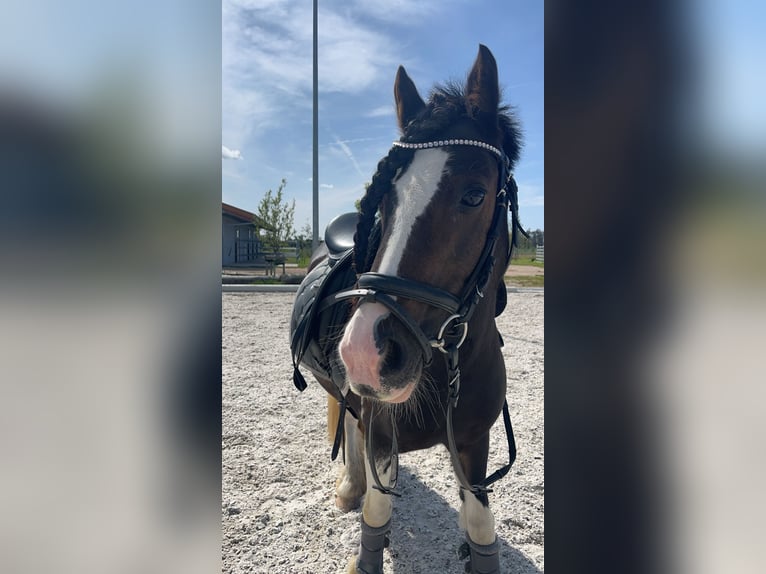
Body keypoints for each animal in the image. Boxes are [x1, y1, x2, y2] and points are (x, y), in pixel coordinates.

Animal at [292, 45, 524, 574]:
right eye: (384, 203)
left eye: (475, 194)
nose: (365, 353)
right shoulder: (382, 435)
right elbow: (377, 515)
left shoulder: (473, 442)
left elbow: (481, 524)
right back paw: (349, 487)